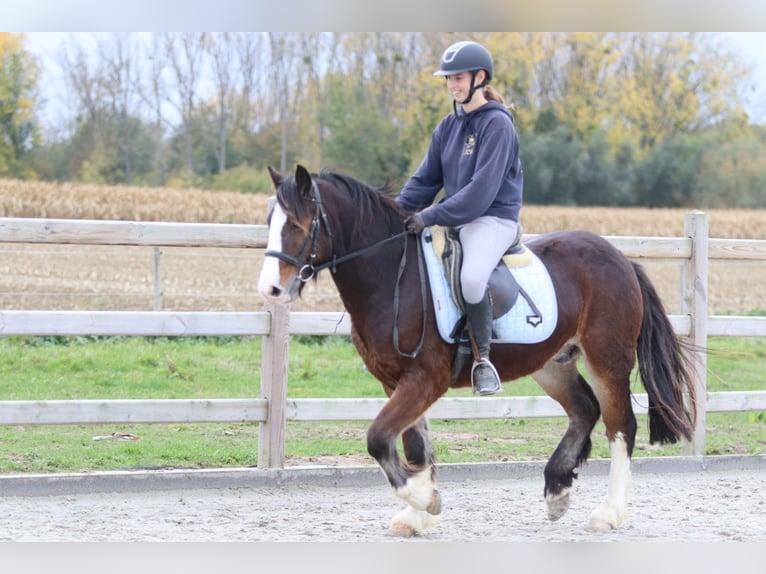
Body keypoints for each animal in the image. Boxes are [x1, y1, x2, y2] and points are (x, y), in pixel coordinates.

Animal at [258, 164, 697, 537]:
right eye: (269, 223)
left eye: (297, 224)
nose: (271, 290)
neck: (393, 276)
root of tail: (621, 259)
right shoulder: (395, 381)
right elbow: (414, 446)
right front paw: (418, 515)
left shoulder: (425, 378)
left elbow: (379, 438)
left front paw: (425, 500)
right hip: (552, 364)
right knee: (584, 409)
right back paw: (557, 490)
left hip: (607, 360)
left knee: (621, 425)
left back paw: (609, 513)